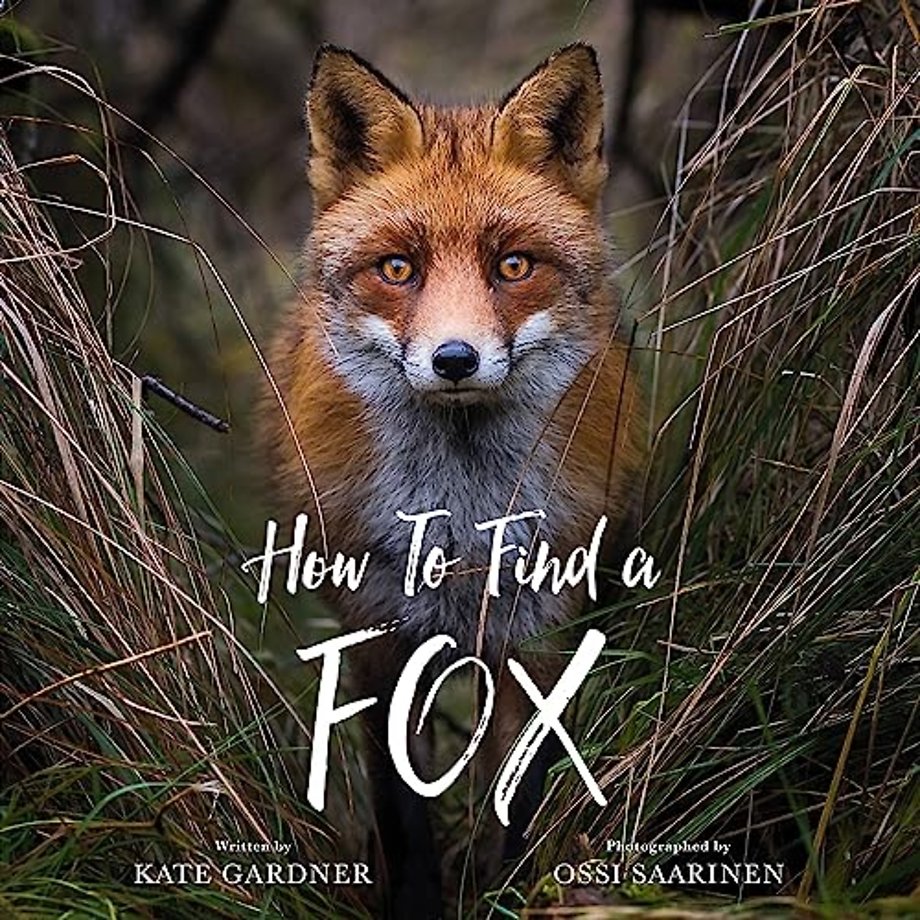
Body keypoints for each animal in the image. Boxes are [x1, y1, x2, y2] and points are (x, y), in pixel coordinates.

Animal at [264, 43, 645, 918]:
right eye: (398, 268)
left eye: (513, 265)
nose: (455, 359)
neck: (463, 523)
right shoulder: (377, 633)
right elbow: (403, 809)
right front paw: (417, 902)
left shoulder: (540, 633)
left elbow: (518, 795)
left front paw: (506, 892)